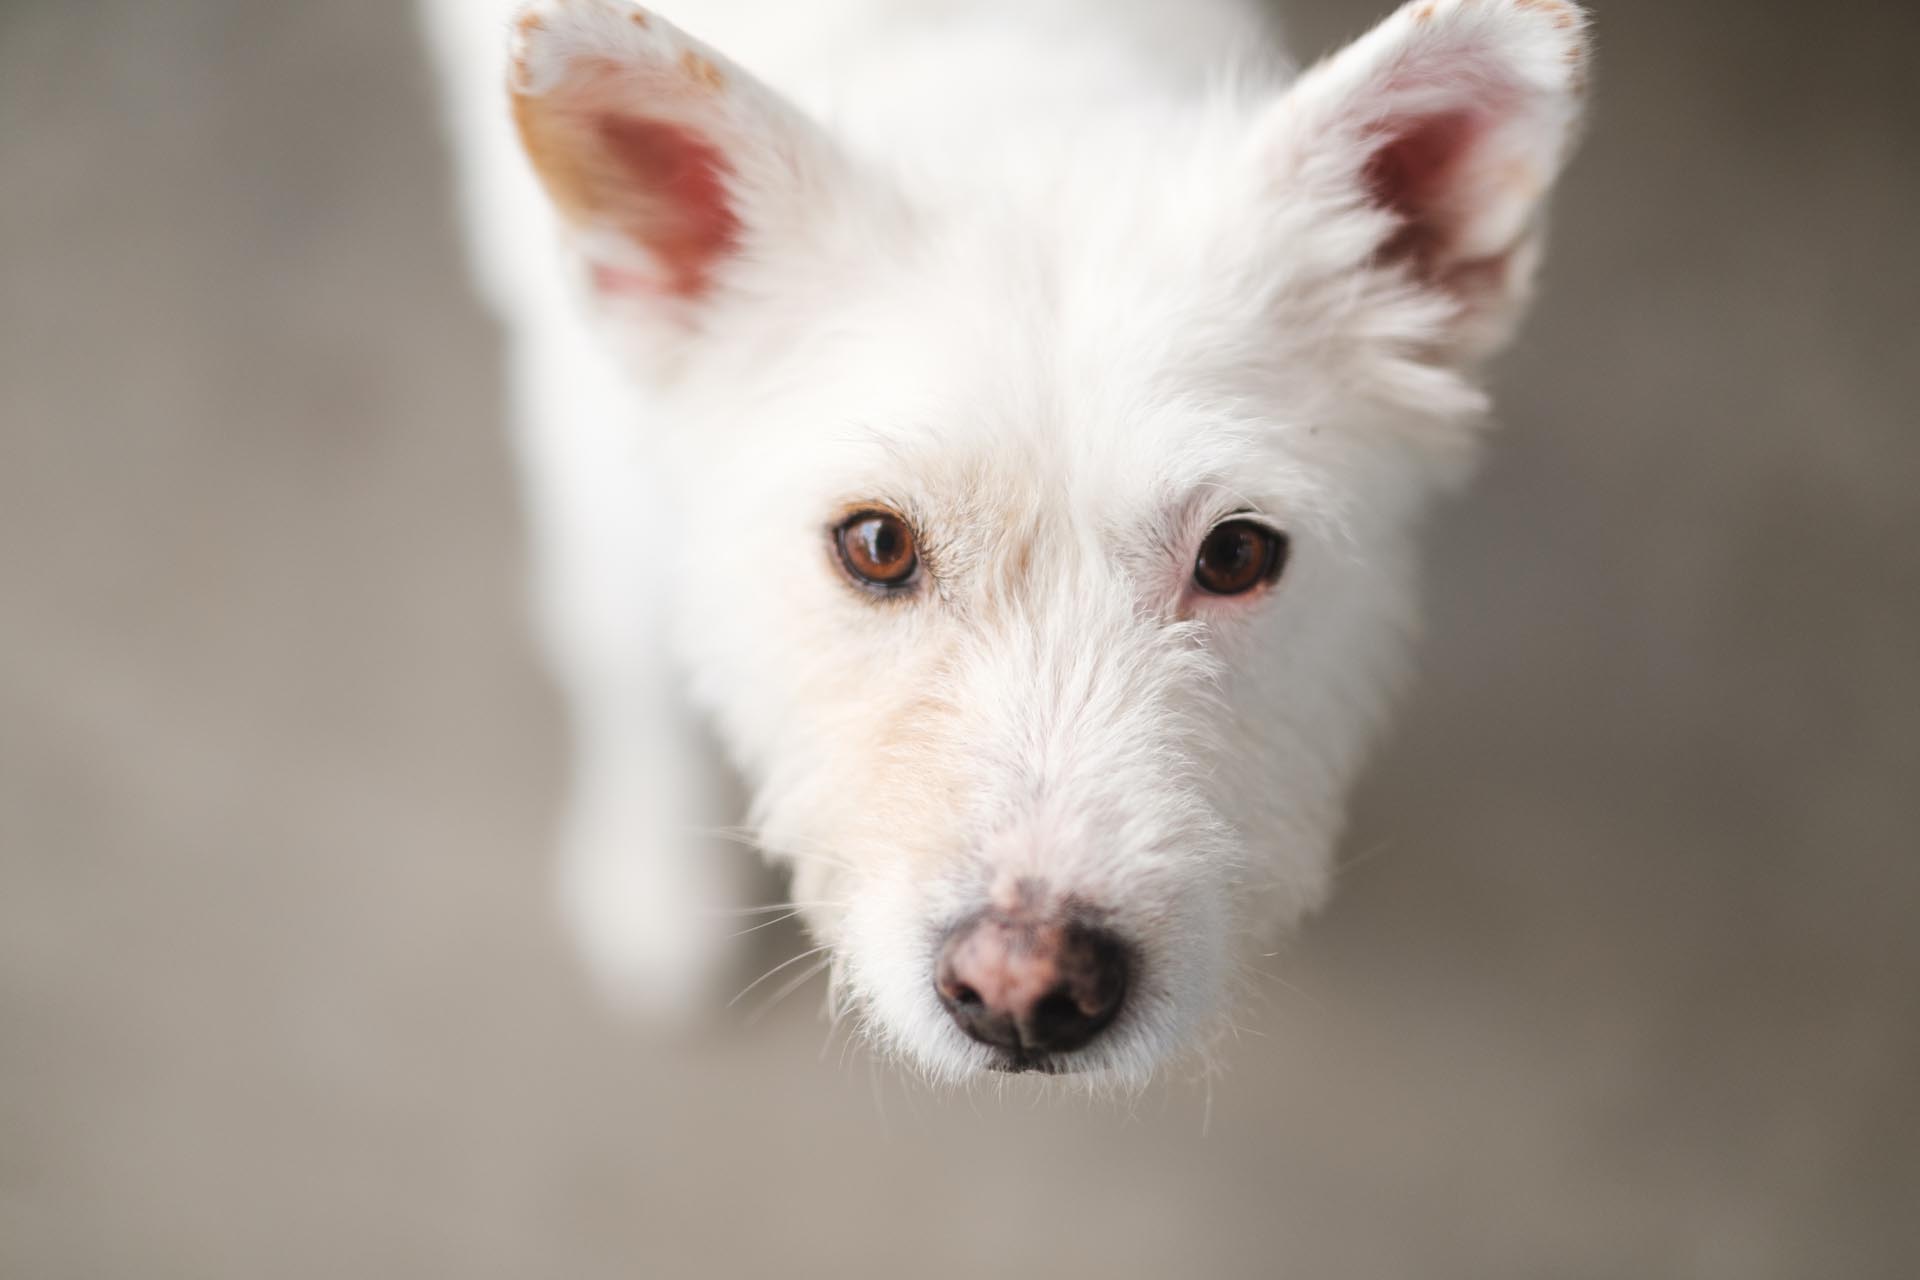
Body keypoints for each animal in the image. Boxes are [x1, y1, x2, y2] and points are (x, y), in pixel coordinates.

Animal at [420, 0, 1589, 1090]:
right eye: (876, 543)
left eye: (1236, 556)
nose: (1029, 992)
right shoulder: (604, 517)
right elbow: (639, 694)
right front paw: (657, 889)